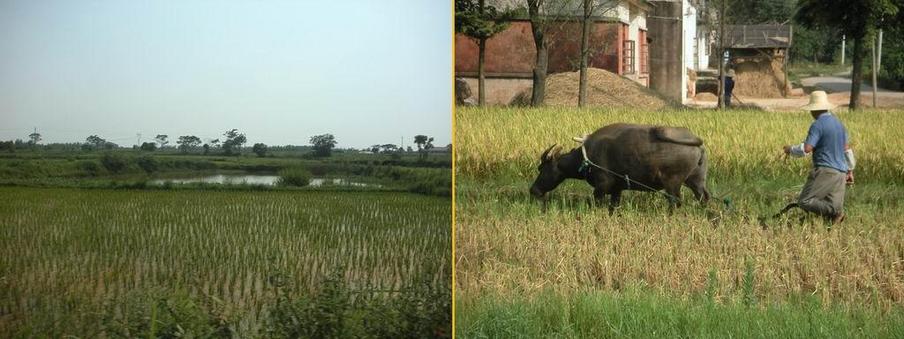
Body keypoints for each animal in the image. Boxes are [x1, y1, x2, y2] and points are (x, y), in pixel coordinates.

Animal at [528, 123, 712, 214]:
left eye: (542, 168)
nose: (533, 190)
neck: (585, 158)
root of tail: (697, 142)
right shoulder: (617, 189)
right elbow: (613, 206)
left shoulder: (602, 186)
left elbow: (594, 201)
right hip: (696, 180)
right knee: (704, 197)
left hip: (672, 183)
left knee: (675, 201)